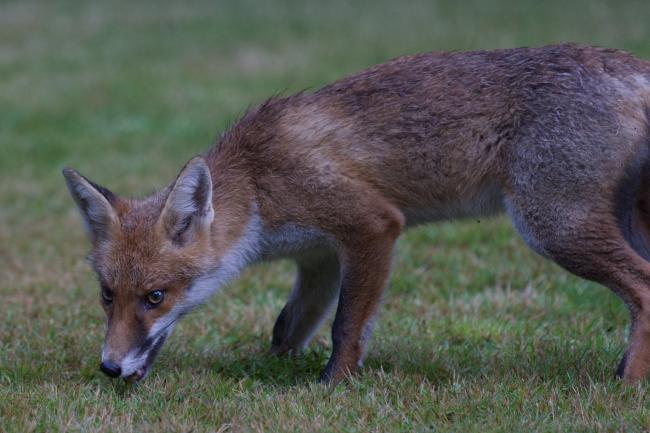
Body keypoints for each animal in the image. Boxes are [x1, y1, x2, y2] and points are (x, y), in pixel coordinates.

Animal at [64, 43, 650, 385]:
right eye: (108, 295)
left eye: (155, 297)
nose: (109, 368)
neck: (257, 182)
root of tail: (626, 63)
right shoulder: (319, 258)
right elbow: (288, 327)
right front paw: (272, 372)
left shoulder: (371, 227)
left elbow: (346, 326)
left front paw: (331, 388)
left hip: (552, 225)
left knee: (642, 287)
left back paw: (626, 387)